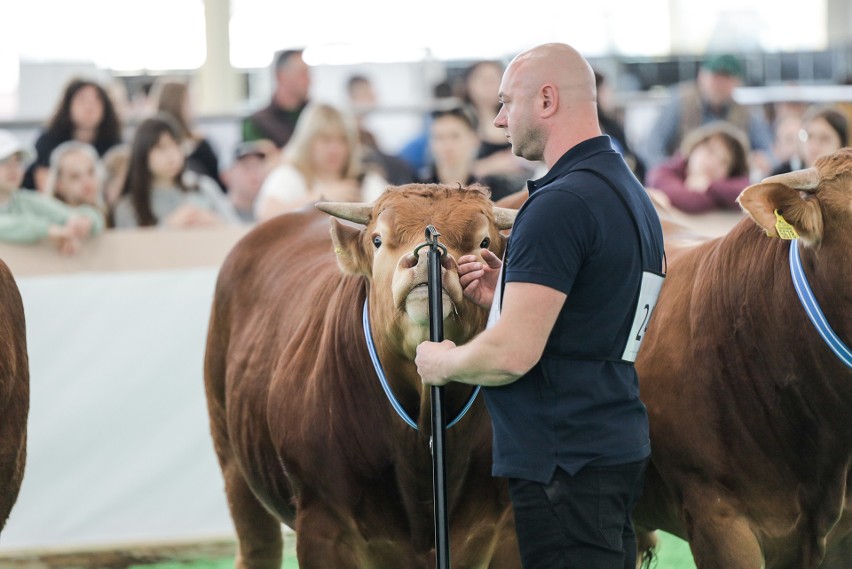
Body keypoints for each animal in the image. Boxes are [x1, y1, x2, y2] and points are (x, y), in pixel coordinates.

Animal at [206, 184, 524, 564]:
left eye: (484, 242)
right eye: (377, 239)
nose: (426, 259)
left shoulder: (508, 527)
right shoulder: (322, 523)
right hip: (232, 459)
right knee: (258, 546)